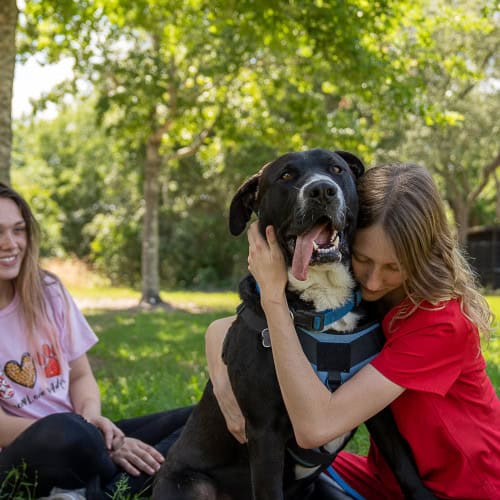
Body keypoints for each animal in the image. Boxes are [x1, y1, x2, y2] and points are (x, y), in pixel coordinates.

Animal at [152, 148, 434, 500]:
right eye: (286, 176)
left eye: (336, 169)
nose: (322, 190)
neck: (325, 303)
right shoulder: (265, 430)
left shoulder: (377, 409)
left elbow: (404, 464)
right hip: (192, 485)